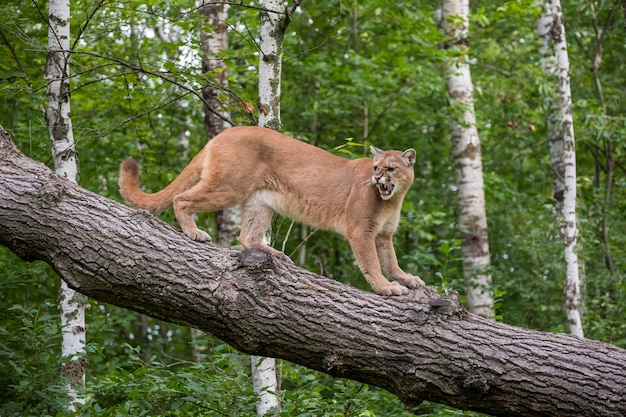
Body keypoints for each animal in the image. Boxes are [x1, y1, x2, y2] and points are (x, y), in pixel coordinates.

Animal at [119, 125, 422, 294]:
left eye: (390, 168)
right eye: (375, 167)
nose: (377, 178)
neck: (392, 199)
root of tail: (223, 133)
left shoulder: (383, 235)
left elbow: (391, 261)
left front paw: (407, 279)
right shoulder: (361, 231)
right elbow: (372, 264)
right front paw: (386, 288)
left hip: (259, 202)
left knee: (247, 236)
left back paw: (276, 254)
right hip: (229, 186)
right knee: (181, 199)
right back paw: (195, 233)